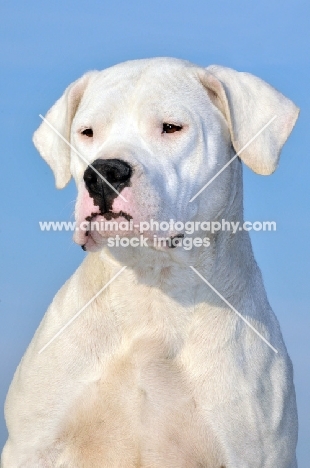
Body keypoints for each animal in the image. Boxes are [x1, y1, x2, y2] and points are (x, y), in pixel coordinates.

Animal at [1, 57, 300, 464]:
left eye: (171, 127)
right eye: (87, 132)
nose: (103, 173)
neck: (151, 290)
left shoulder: (254, 454)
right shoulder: (32, 448)